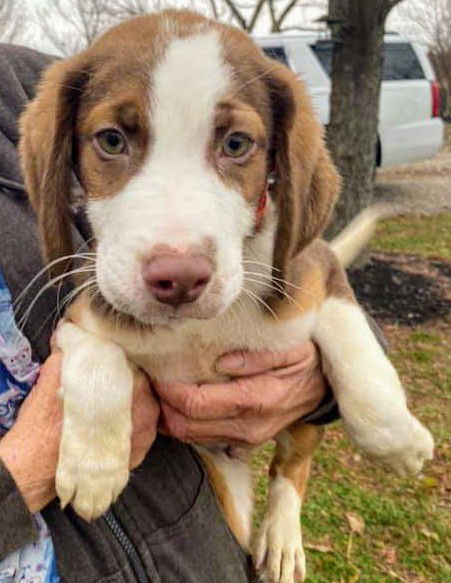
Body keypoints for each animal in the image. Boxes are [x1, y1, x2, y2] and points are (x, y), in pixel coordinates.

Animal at [18, 10, 434, 583]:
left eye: (236, 145)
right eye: (111, 140)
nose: (179, 278)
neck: (200, 331)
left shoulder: (320, 273)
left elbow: (361, 363)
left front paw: (402, 443)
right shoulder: (83, 313)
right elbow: (99, 363)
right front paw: (93, 467)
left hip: (298, 419)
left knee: (292, 464)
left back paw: (282, 537)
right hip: (229, 492)